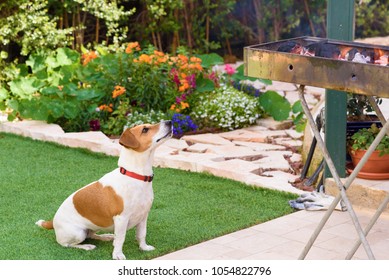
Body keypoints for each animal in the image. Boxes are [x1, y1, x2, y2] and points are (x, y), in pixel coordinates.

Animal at [35, 119, 172, 260]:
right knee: (67, 244)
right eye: (145, 129)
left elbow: (141, 234)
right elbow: (120, 238)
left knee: (91, 235)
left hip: (94, 225)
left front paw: (144, 248)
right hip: (78, 233)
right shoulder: (121, 218)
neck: (135, 175)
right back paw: (86, 246)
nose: (169, 121)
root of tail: (52, 222)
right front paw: (118, 255)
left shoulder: (143, 216)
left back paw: (105, 237)